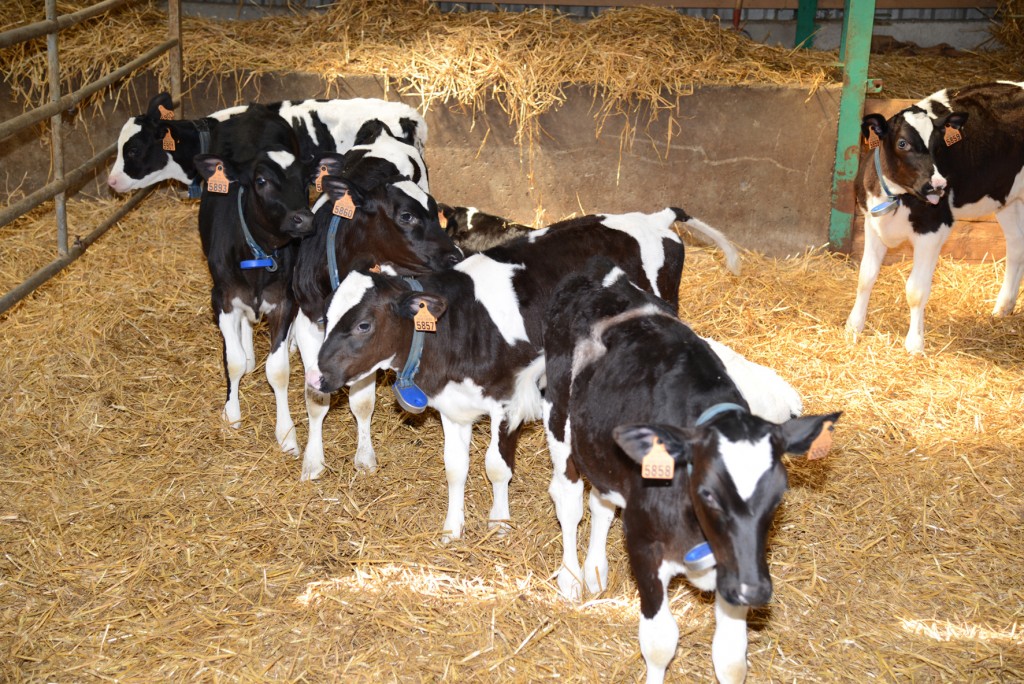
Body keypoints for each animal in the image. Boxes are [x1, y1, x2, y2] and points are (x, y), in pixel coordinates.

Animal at [193, 102, 313, 454]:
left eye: (306, 181)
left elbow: (278, 370)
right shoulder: (222, 298)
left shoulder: (284, 300)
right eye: (261, 180)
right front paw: (231, 414)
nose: (304, 220)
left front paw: (286, 434)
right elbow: (231, 361)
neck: (260, 253)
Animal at [303, 208, 737, 540]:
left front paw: (499, 522)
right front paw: (452, 528)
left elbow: (496, 465)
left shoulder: (507, 398)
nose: (316, 378)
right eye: (327, 314)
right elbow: (454, 468)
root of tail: (653, 216)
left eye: (363, 325)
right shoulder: (452, 404)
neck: (459, 323)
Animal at [544, 259, 839, 679]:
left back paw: (595, 571)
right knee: (567, 500)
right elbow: (659, 644)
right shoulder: (645, 548)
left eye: (777, 496)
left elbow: (731, 659)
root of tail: (605, 276)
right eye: (708, 492)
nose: (756, 590)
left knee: (601, 502)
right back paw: (570, 578)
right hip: (558, 415)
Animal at [847, 81, 1024, 352]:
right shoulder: (872, 221)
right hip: (1008, 199)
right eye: (902, 143)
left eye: (939, 146)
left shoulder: (934, 228)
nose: (938, 186)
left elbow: (916, 290)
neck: (898, 196)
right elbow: (865, 277)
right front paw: (854, 326)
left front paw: (914, 343)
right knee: (1016, 245)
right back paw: (1003, 308)